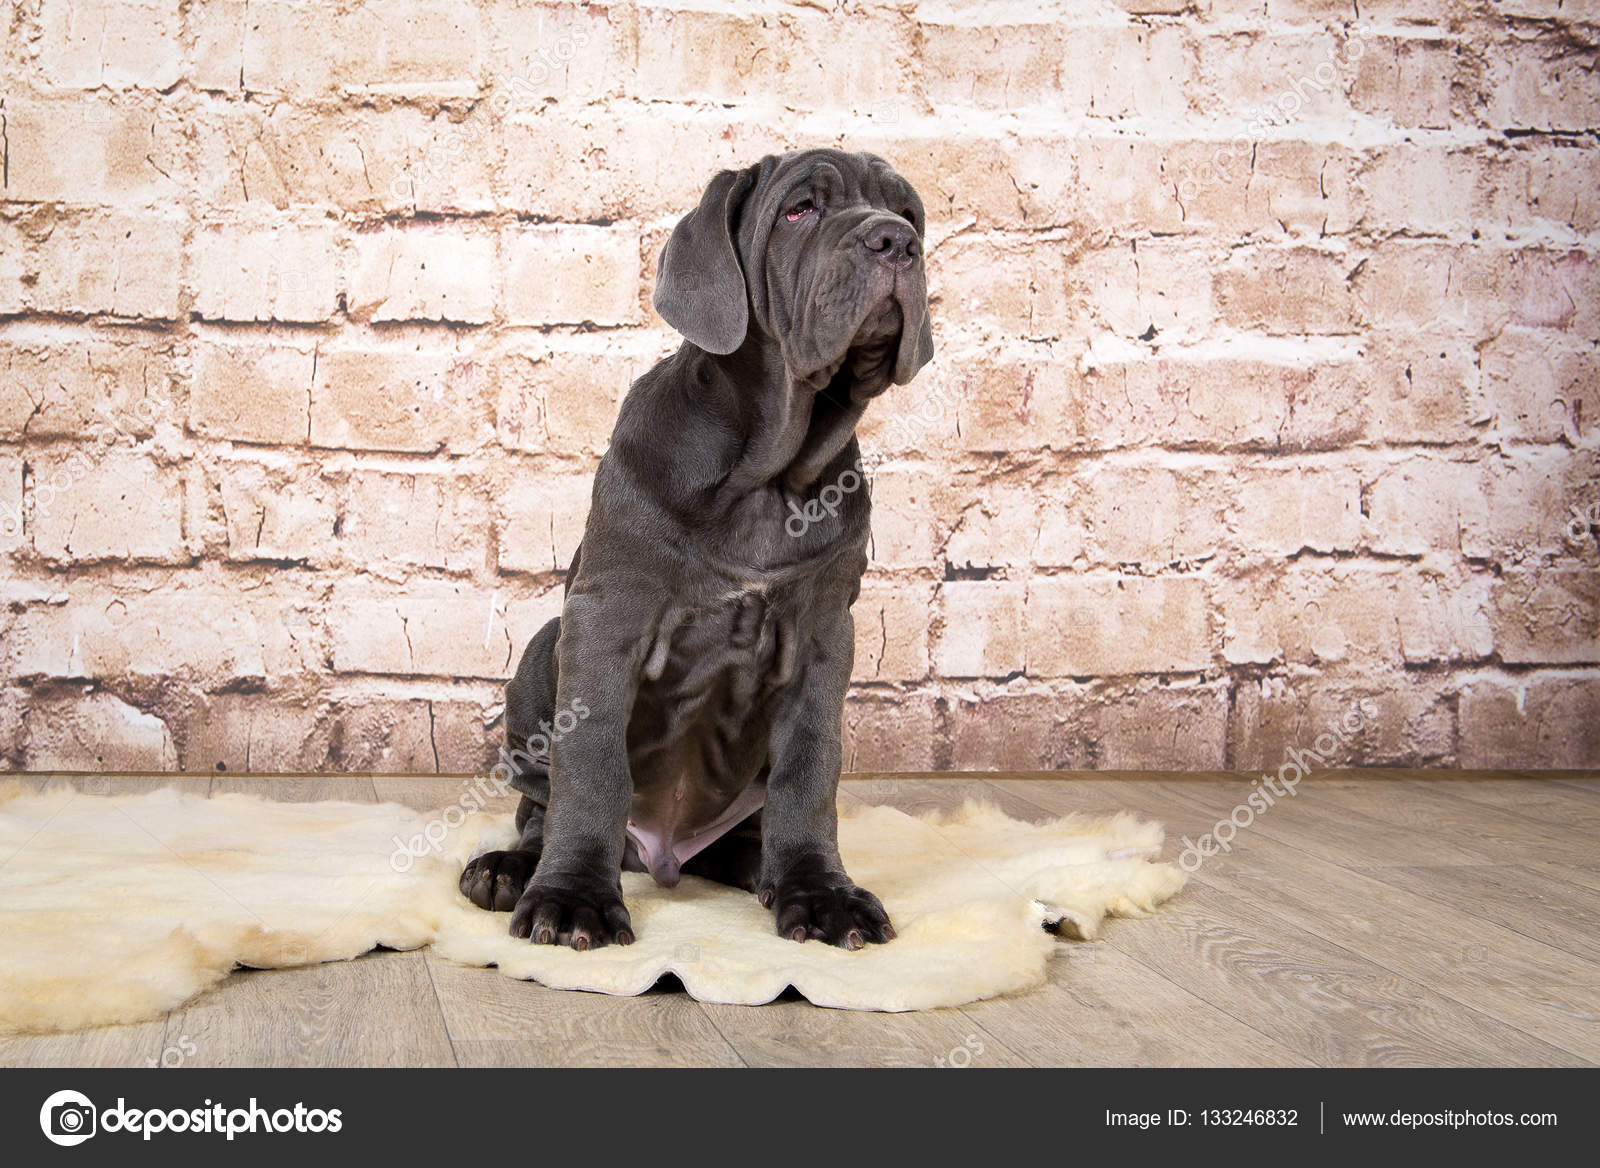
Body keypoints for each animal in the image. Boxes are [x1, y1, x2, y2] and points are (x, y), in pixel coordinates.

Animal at [464, 148, 934, 947]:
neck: (768, 478)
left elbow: (809, 769)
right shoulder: (607, 616)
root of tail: (662, 853)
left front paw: (822, 891)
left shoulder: (823, 636)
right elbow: (591, 765)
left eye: (909, 214)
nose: (895, 242)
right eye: (800, 210)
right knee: (539, 806)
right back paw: (511, 868)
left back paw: (767, 872)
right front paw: (572, 899)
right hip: (543, 646)